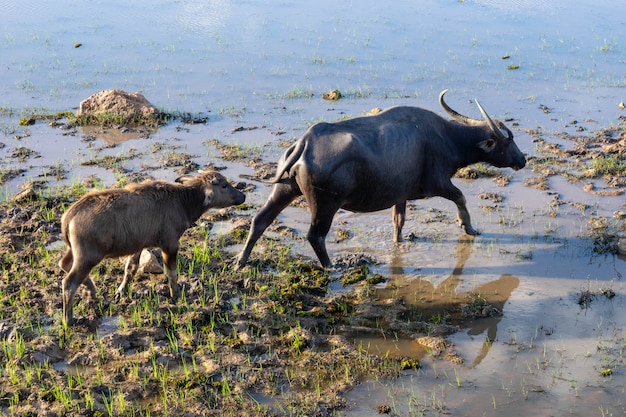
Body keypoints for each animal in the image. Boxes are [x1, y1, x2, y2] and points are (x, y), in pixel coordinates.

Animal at [58, 170, 244, 324]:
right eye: (224, 185)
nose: (243, 196)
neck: (182, 201)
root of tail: (69, 215)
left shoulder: (139, 245)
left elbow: (131, 268)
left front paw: (121, 292)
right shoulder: (170, 244)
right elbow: (171, 273)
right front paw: (176, 295)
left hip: (75, 251)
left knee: (64, 264)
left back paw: (92, 291)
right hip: (88, 256)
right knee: (69, 282)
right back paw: (69, 319)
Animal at [236, 89, 524, 268]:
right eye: (508, 140)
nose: (523, 160)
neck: (447, 138)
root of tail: (305, 142)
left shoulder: (401, 195)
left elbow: (399, 221)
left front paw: (399, 243)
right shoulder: (438, 184)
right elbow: (461, 197)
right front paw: (468, 227)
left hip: (286, 189)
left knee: (260, 220)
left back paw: (241, 260)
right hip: (325, 204)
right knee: (315, 236)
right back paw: (331, 266)